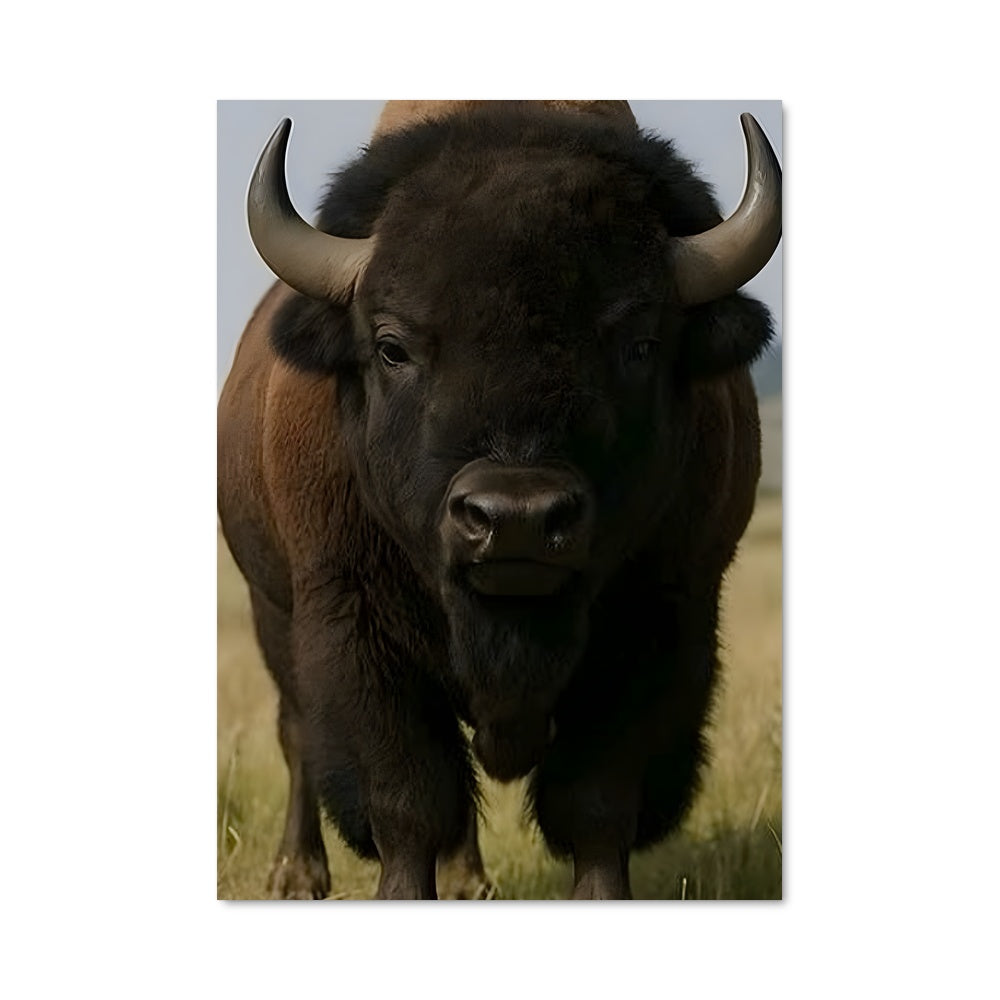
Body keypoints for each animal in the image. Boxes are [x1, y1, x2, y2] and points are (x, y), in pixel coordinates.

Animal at [217, 100, 781, 899]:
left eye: (640, 343)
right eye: (392, 345)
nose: (515, 520)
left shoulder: (663, 622)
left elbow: (597, 801)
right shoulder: (352, 627)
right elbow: (407, 799)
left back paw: (465, 881)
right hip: (272, 610)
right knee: (297, 734)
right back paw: (298, 875)